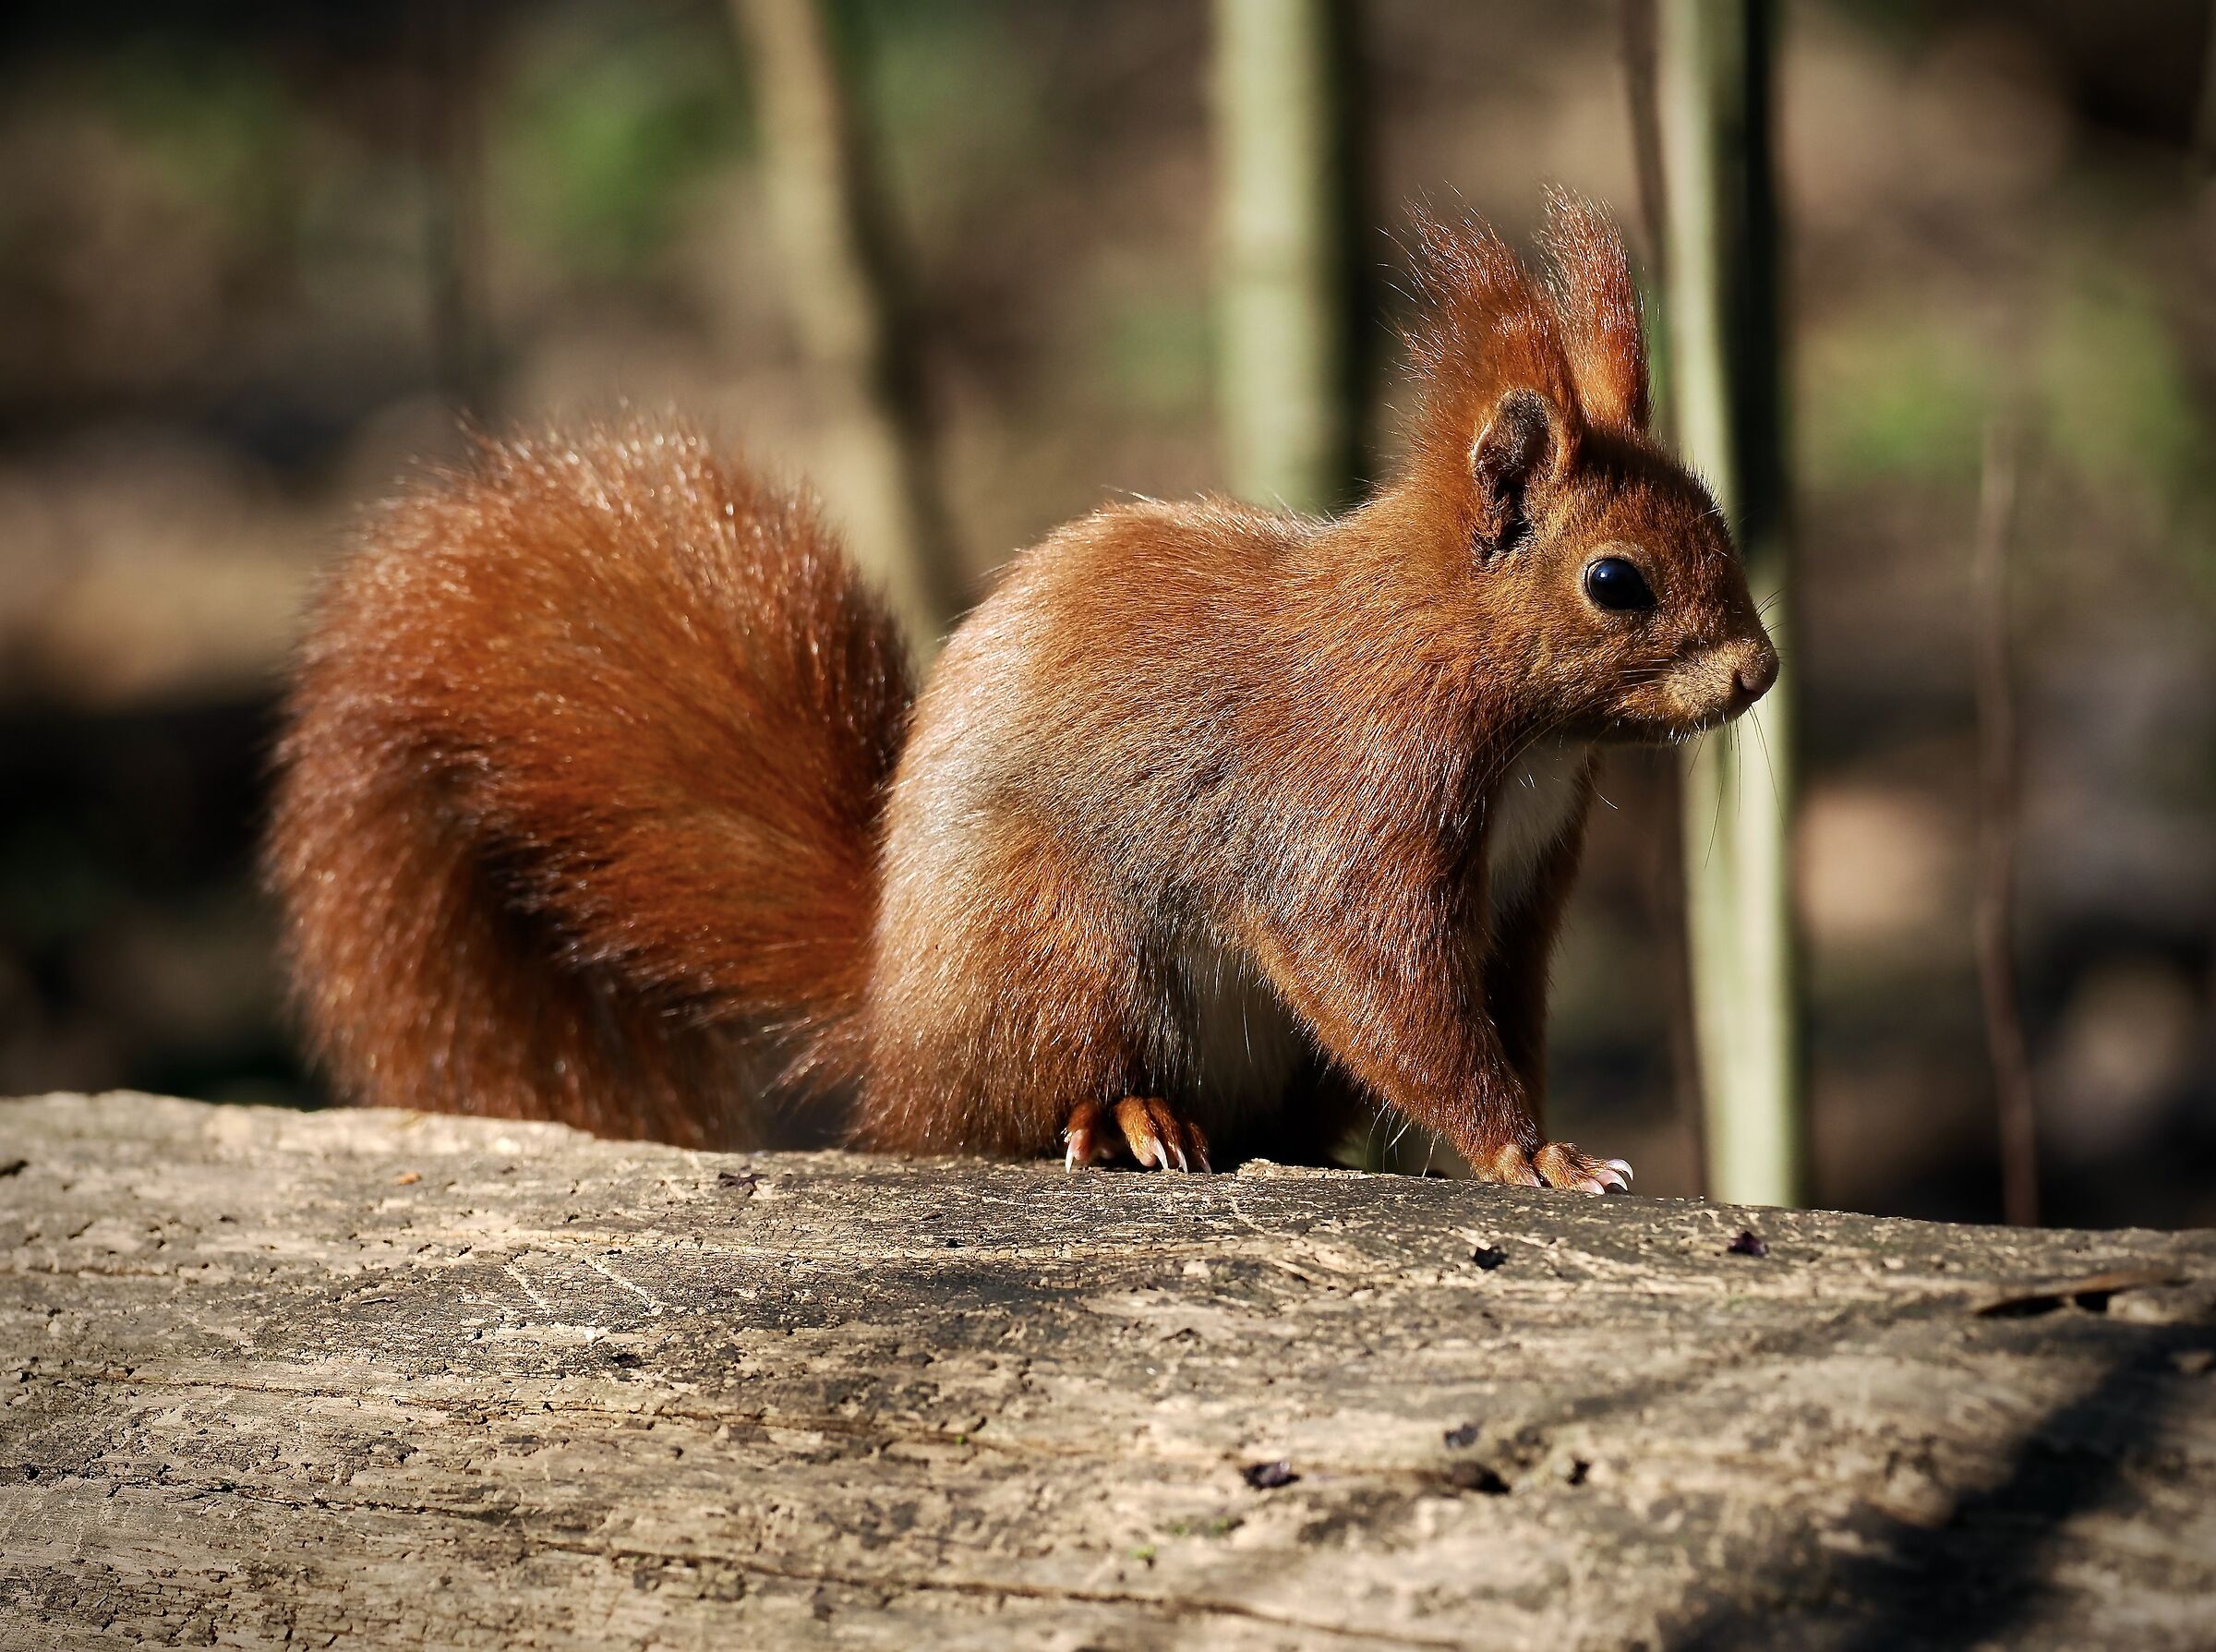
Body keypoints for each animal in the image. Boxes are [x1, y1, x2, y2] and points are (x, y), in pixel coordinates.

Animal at [266, 194, 1777, 1191]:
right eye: (1617, 582)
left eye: (1718, 513)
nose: (1760, 671)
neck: (1503, 707)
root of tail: (897, 1018)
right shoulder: (1352, 804)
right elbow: (1391, 992)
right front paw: (1532, 1150)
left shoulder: (1524, 890)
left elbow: (1501, 1006)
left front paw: (1539, 1143)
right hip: (1061, 941)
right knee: (1027, 1097)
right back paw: (1126, 1119)